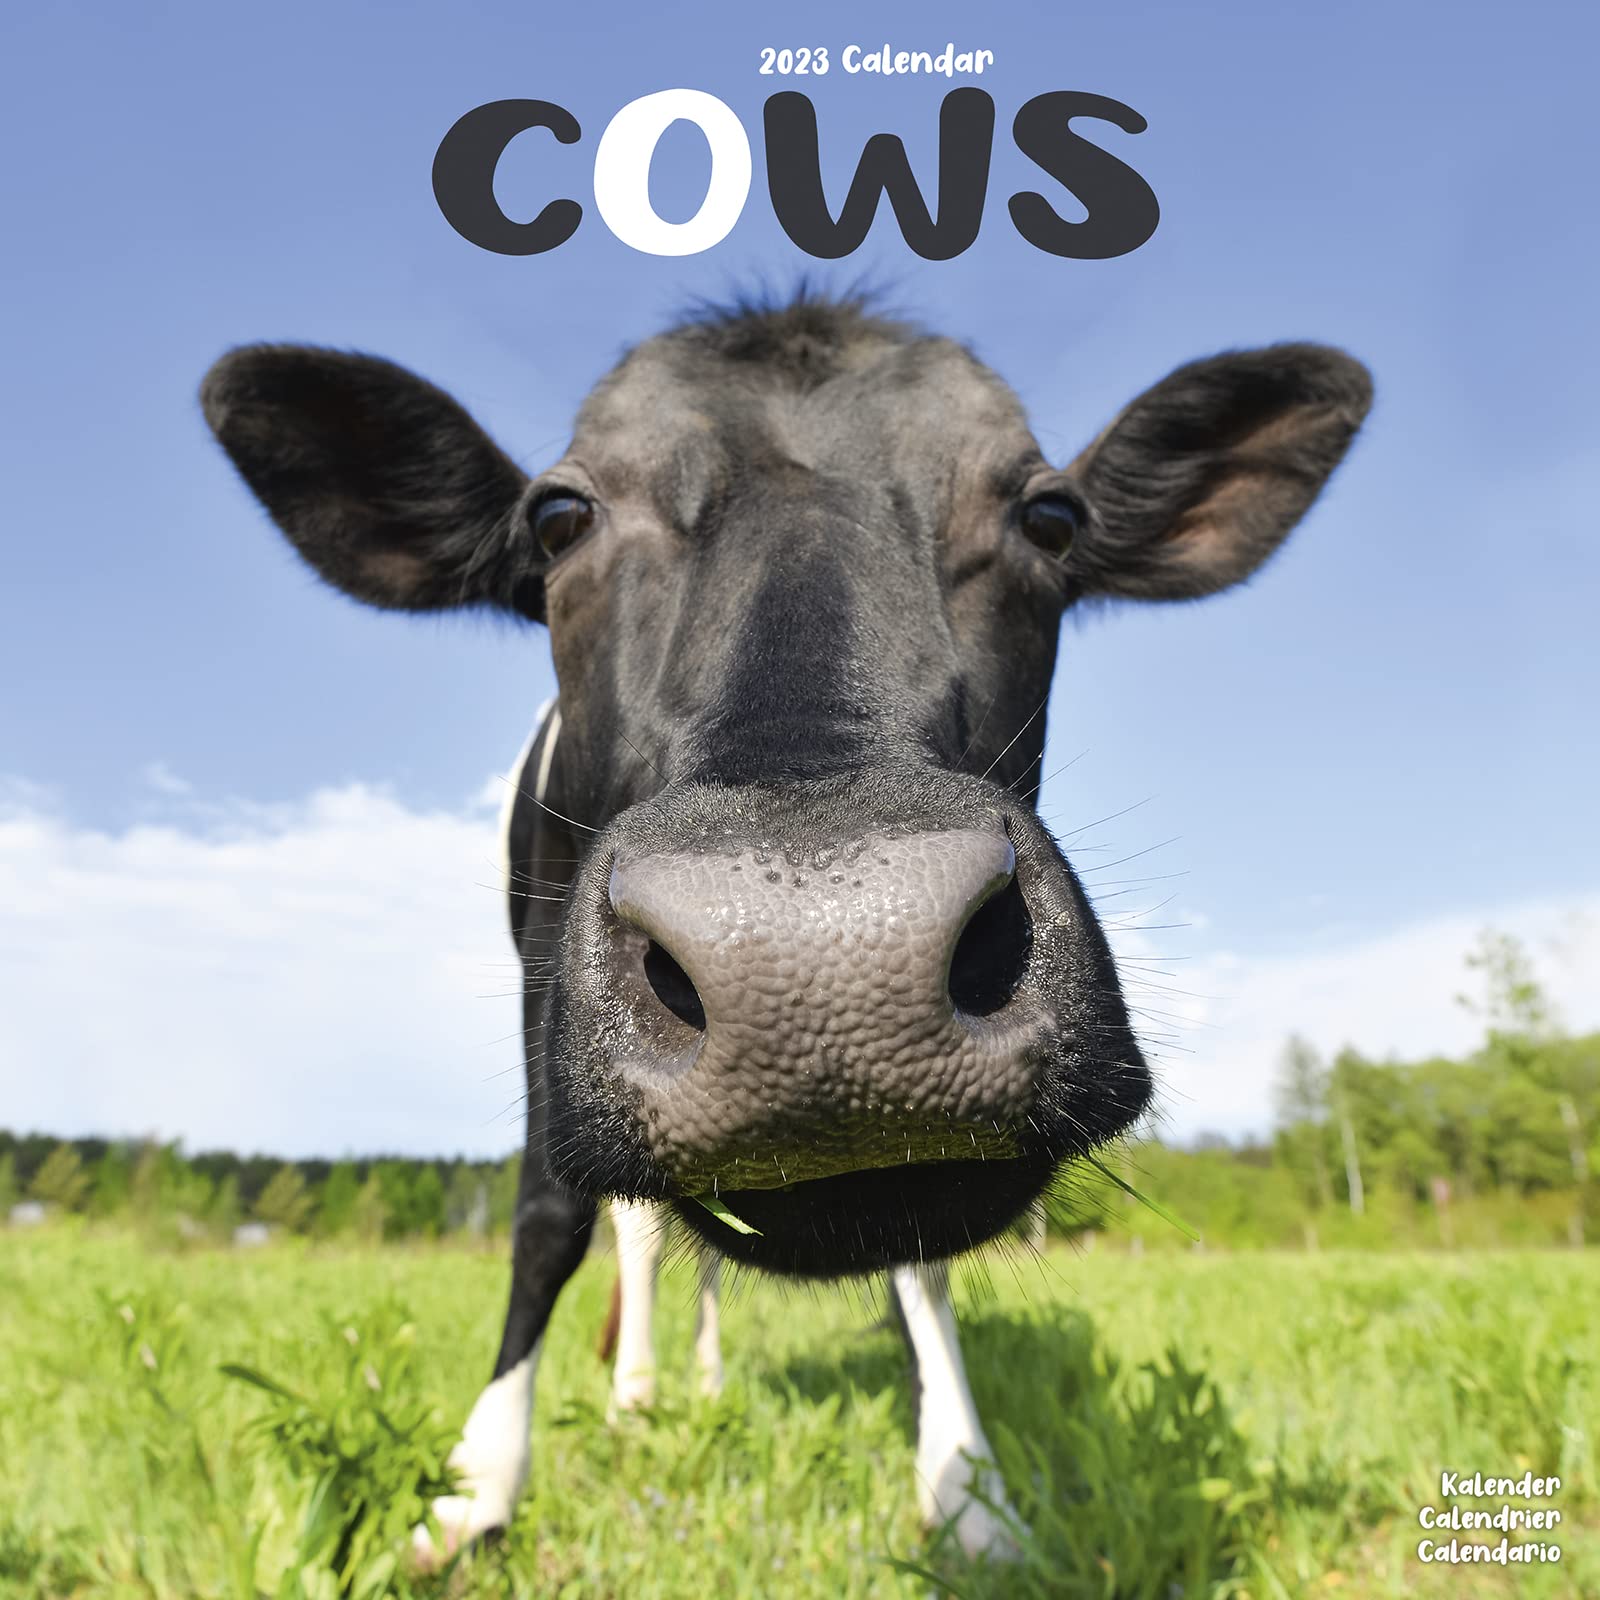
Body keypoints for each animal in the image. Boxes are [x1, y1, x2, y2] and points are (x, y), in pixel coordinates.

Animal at [200, 291, 1370, 1560]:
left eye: (1050, 517)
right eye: (559, 518)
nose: (820, 959)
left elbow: (924, 1270)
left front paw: (968, 1486)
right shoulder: (540, 974)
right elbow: (553, 1213)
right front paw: (476, 1482)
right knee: (636, 1230)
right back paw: (638, 1396)